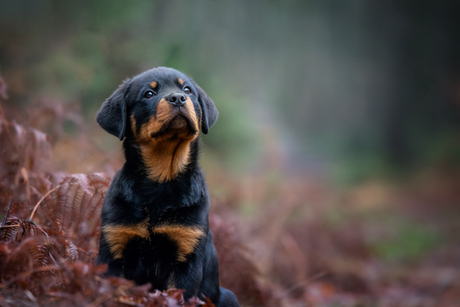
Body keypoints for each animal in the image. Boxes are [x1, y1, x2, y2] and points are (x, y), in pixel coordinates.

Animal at [97, 67, 241, 307]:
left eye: (187, 90)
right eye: (148, 94)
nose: (178, 98)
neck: (162, 180)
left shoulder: (186, 255)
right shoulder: (114, 247)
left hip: (227, 296)